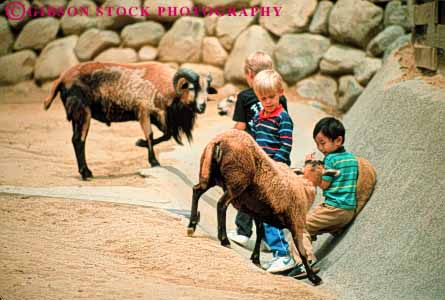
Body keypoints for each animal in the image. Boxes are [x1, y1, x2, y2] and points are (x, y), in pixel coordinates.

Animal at [42, 60, 216, 178]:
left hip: (75, 115)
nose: (202, 107)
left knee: (74, 139)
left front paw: (140, 143)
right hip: (82, 111)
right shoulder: (143, 112)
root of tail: (62, 78)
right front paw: (154, 161)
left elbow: (166, 135)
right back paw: (86, 173)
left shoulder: (159, 117)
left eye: (207, 90)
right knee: (79, 140)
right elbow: (151, 135)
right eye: (192, 88)